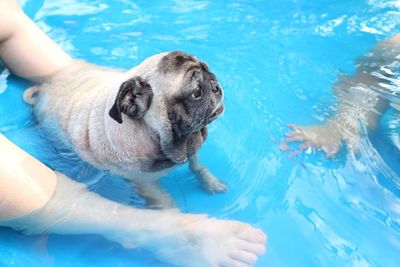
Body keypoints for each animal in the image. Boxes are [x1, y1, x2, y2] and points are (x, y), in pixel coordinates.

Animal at [24, 50, 225, 209]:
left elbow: (197, 166)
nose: (215, 84)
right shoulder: (146, 185)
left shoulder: (192, 147)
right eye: (196, 92)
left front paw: (210, 182)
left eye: (208, 70)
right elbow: (165, 202)